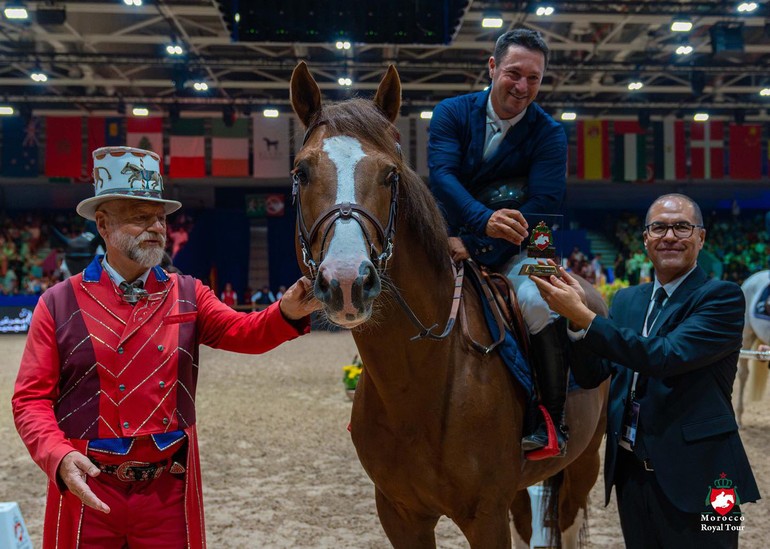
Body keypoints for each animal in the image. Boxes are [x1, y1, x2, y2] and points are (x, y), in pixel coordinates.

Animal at [292, 62, 608, 544]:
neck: (416, 381)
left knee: (569, 521)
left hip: (584, 463)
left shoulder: (485, 517)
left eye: (391, 175)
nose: (346, 280)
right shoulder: (400, 515)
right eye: (302, 172)